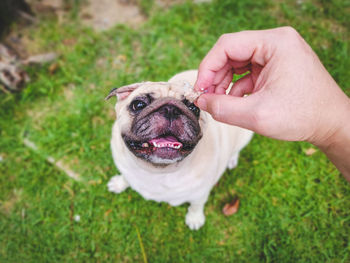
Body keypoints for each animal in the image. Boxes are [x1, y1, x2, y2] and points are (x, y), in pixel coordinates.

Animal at [105, 70, 253, 231]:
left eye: (194, 109)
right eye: (138, 104)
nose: (170, 109)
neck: (156, 171)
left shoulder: (200, 194)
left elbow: (196, 206)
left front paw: (194, 218)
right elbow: (126, 176)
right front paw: (120, 183)